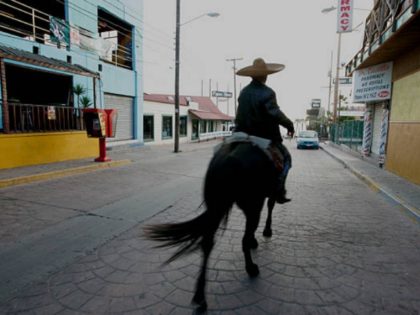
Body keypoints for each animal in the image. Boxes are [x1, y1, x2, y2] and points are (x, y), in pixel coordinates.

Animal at [144, 141, 282, 314]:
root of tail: (230, 159)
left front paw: (256, 239)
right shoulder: (266, 195)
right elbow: (270, 206)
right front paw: (265, 232)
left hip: (217, 205)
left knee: (207, 243)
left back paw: (200, 297)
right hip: (251, 204)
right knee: (243, 237)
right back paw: (250, 268)